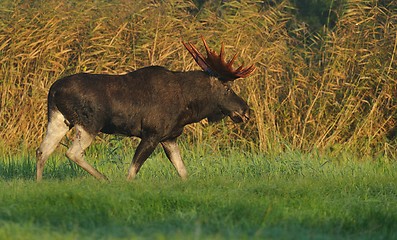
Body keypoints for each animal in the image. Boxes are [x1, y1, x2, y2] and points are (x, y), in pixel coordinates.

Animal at [35, 37, 255, 180]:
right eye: (227, 88)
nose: (246, 111)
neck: (188, 109)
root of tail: (53, 90)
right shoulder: (152, 134)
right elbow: (132, 172)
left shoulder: (169, 137)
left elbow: (183, 172)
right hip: (89, 123)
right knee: (72, 153)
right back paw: (104, 179)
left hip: (59, 120)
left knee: (42, 150)